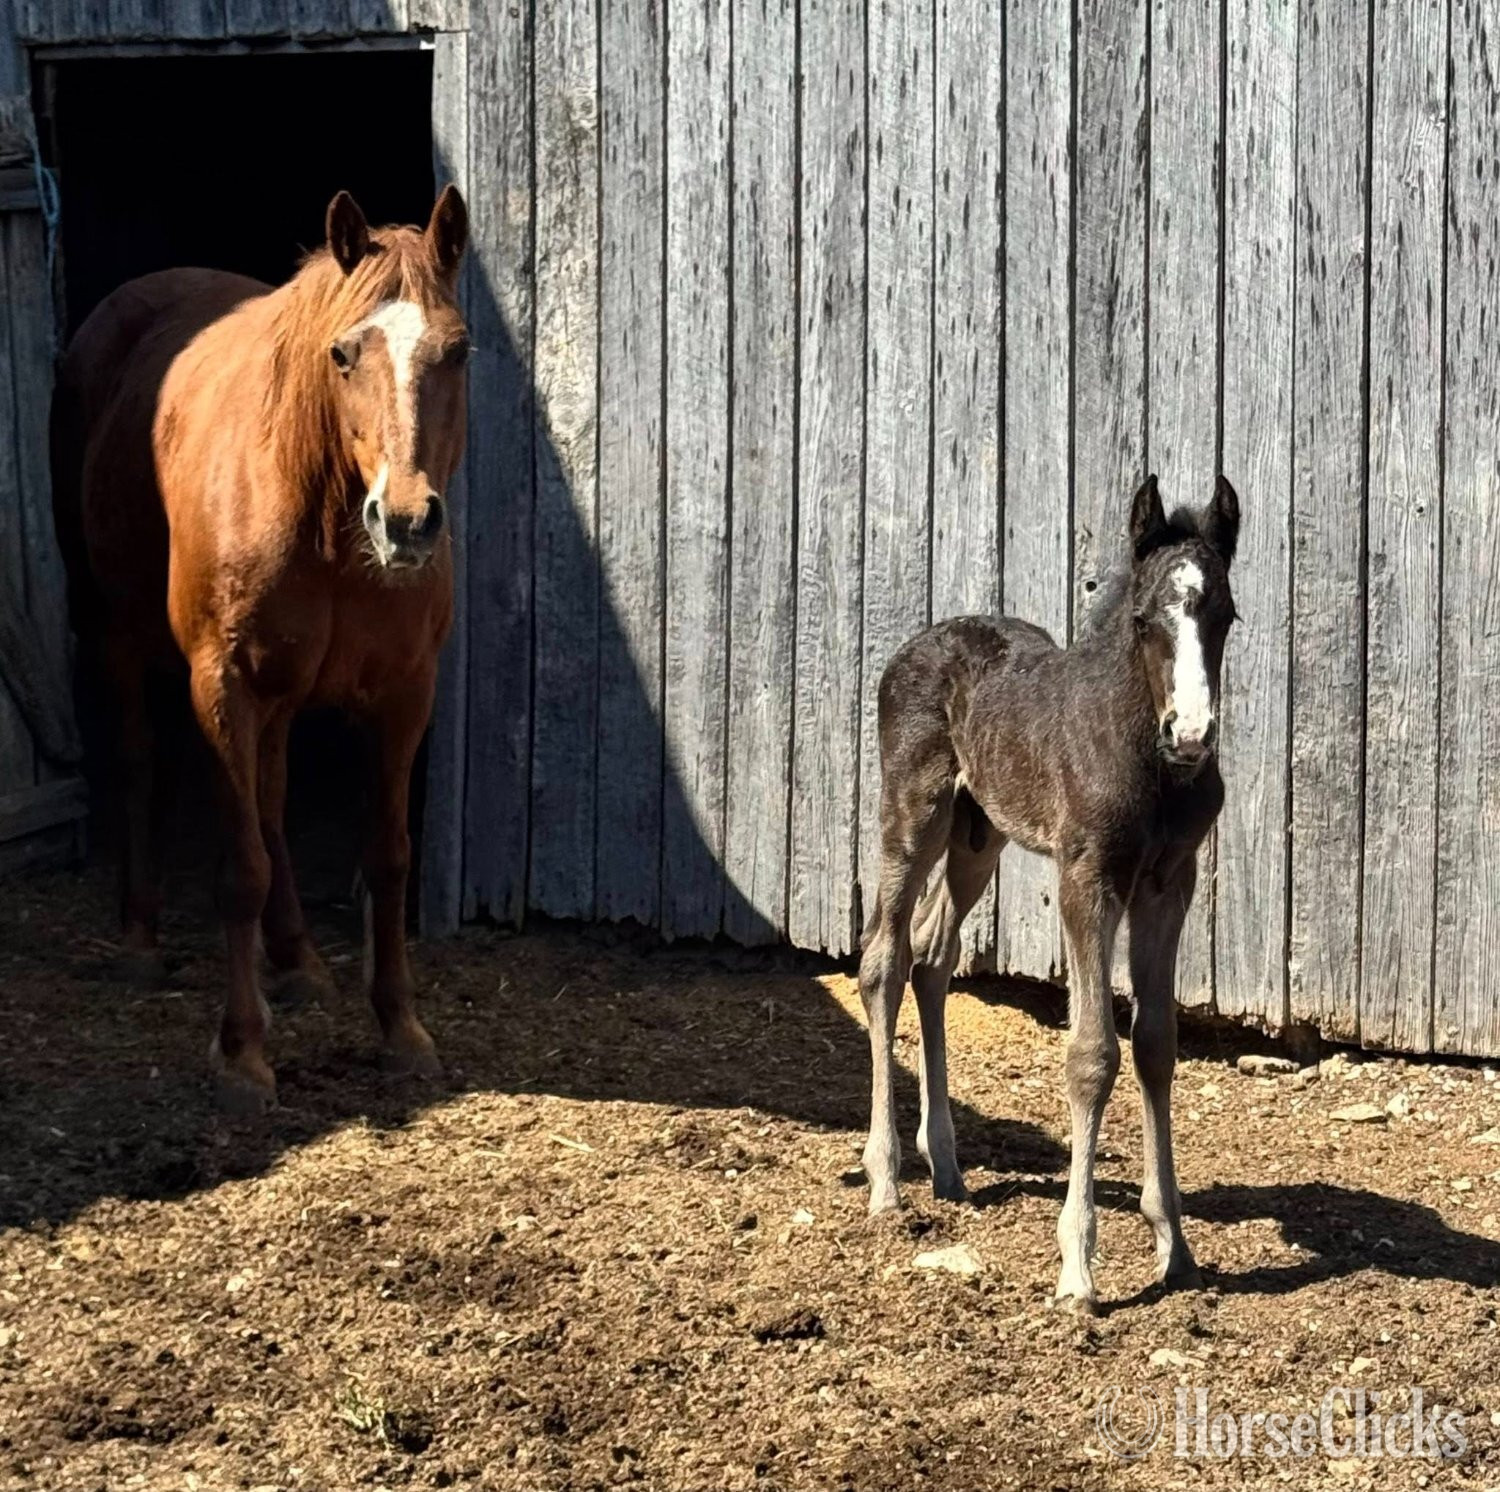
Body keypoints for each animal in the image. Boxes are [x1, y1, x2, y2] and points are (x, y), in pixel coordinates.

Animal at [50, 187, 470, 1115]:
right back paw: (140, 941)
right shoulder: (224, 688)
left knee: (273, 802)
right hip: (114, 636)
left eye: (457, 350)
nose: (406, 521)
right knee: (139, 762)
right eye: (344, 354)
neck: (324, 518)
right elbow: (238, 865)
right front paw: (242, 1054)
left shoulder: (405, 694)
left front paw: (401, 1030)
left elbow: (388, 859)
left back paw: (299, 960)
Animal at [858, 474, 1240, 1313]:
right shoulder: (1086, 876)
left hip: (978, 836)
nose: (1191, 736)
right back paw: (886, 1181)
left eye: (1225, 615)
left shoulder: (1169, 882)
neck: (1143, 758)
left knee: (933, 955)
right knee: (882, 961)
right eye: (1144, 620)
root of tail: (914, 647)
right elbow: (1092, 1054)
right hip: (914, 815)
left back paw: (948, 1168)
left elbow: (1157, 1045)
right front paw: (1078, 1270)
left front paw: (1177, 1249)